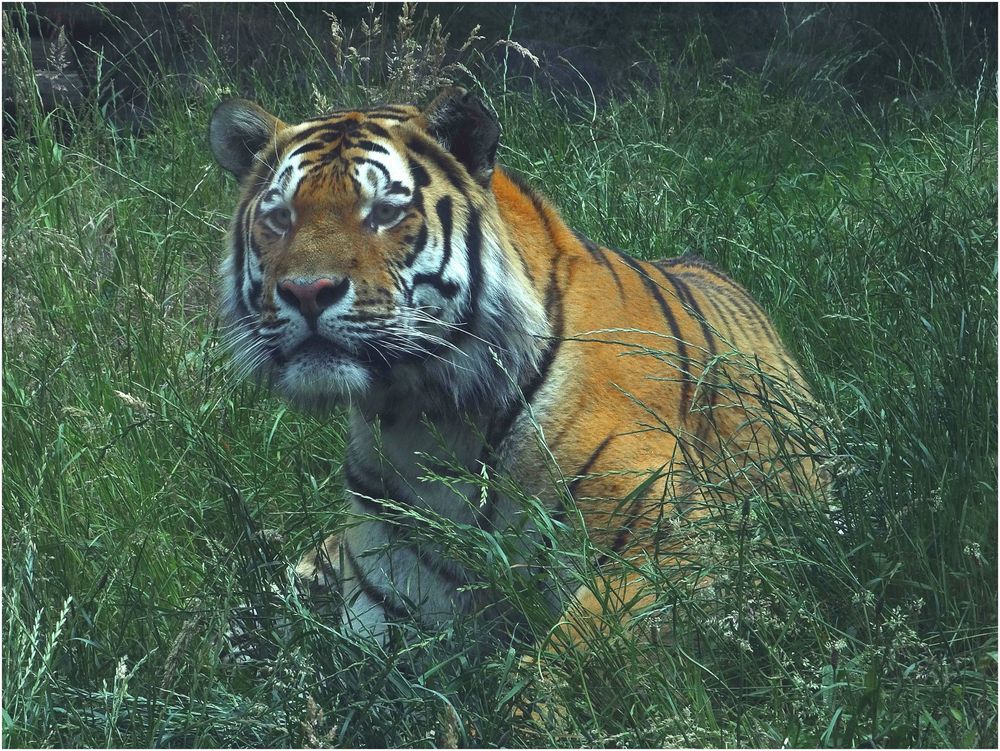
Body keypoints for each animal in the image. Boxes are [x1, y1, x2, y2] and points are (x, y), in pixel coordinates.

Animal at [207, 86, 824, 652]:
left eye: (383, 212)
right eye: (280, 218)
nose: (306, 291)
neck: (422, 415)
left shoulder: (675, 541)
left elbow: (563, 667)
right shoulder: (389, 594)